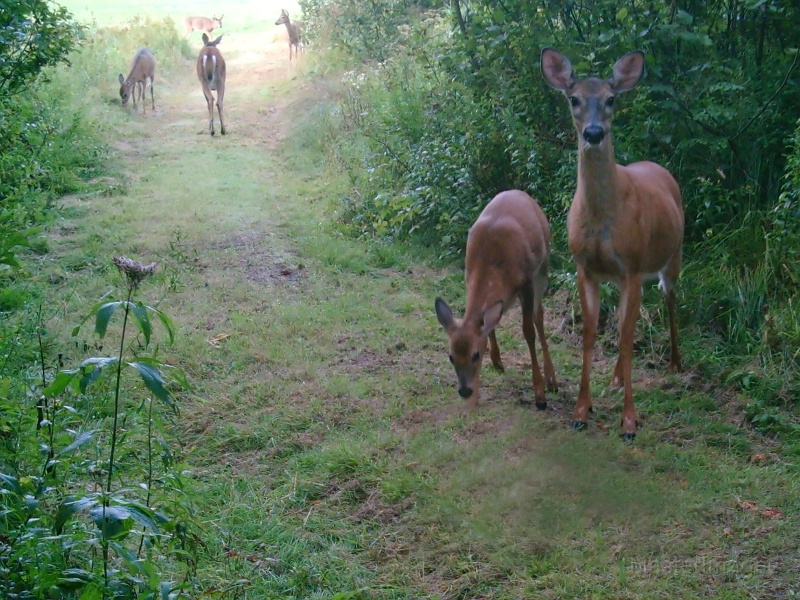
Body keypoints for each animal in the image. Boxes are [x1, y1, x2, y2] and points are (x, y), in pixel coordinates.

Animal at [438, 190, 556, 410]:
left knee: (539, 315)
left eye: (475, 355)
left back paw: (552, 380)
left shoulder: (526, 283)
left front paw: (540, 394)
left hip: (543, 265)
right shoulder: (468, 276)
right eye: (451, 356)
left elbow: (529, 333)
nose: (465, 391)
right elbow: (489, 323)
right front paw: (496, 361)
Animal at [540, 48, 684, 440]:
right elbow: (592, 332)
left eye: (611, 99)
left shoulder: (631, 265)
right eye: (573, 99)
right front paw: (581, 410)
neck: (603, 218)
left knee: (669, 300)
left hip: (672, 257)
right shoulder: (585, 267)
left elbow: (625, 333)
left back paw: (675, 363)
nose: (593, 132)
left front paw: (629, 421)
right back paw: (619, 377)